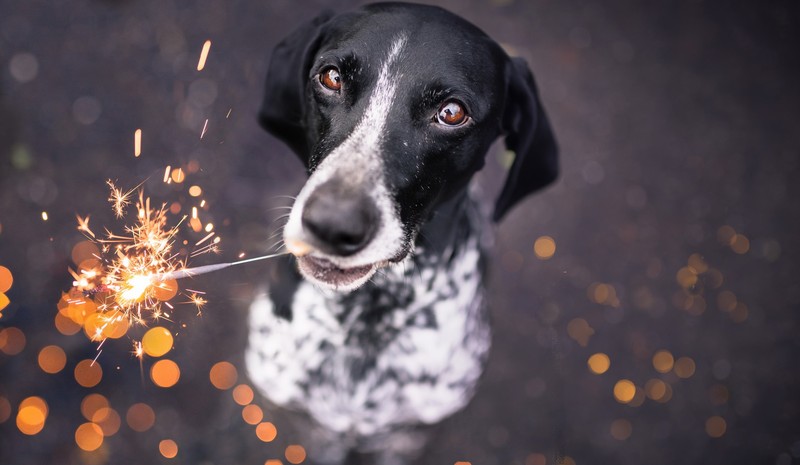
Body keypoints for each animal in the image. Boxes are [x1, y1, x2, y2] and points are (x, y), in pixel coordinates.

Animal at [247, 2, 560, 460]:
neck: (366, 320)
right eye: (331, 77)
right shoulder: (309, 424)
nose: (332, 224)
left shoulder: (407, 435)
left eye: (452, 112)